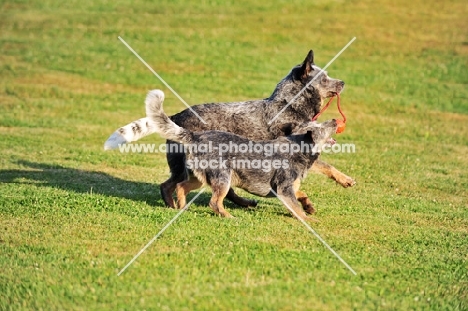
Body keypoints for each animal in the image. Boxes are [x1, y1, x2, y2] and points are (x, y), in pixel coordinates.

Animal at [145, 89, 336, 222]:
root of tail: (194, 136)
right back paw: (229, 216)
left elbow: (300, 195)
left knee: (180, 187)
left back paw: (182, 208)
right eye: (322, 127)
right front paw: (310, 219)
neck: (298, 148)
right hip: (222, 178)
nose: (335, 120)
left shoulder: (289, 188)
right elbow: (297, 209)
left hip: (198, 178)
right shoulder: (284, 189)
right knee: (214, 202)